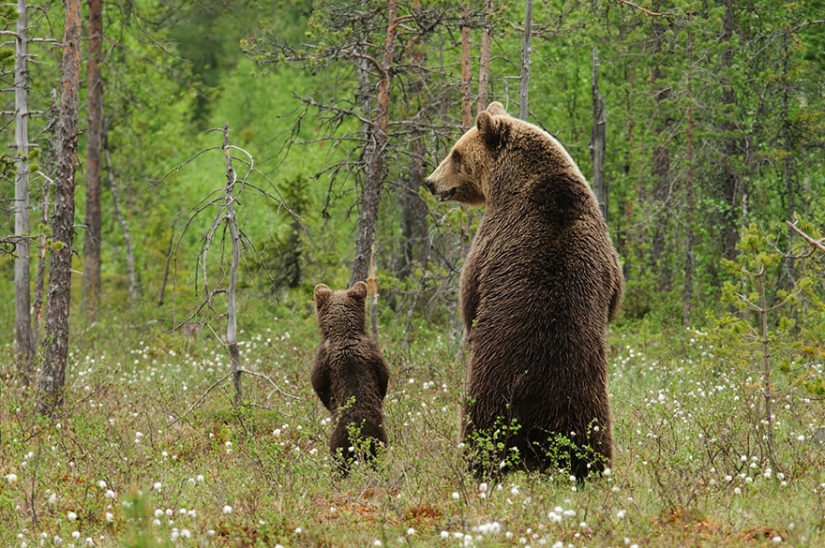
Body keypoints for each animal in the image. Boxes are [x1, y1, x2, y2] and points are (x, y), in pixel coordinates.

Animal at [311, 281, 390, 473]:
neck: (343, 334)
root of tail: (360, 437)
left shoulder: (322, 361)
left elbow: (318, 384)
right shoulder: (375, 354)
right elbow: (384, 376)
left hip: (339, 442)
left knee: (340, 462)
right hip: (379, 440)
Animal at [424, 102, 623, 479]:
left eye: (455, 154)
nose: (429, 182)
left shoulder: (494, 236)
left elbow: (469, 292)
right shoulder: (605, 249)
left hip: (492, 387)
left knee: (481, 428)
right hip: (587, 397)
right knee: (592, 437)